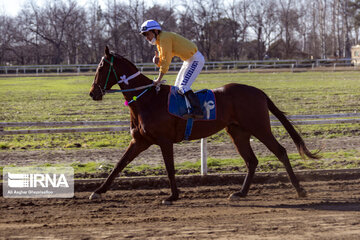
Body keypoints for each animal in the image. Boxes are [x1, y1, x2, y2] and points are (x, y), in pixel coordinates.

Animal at [89, 46, 318, 204]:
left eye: (101, 67)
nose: (93, 93)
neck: (147, 99)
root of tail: (259, 91)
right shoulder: (139, 141)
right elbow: (119, 165)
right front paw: (98, 191)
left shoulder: (164, 140)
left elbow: (170, 168)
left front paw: (173, 196)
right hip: (238, 133)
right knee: (251, 161)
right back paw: (241, 193)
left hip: (259, 127)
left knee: (280, 152)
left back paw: (300, 189)